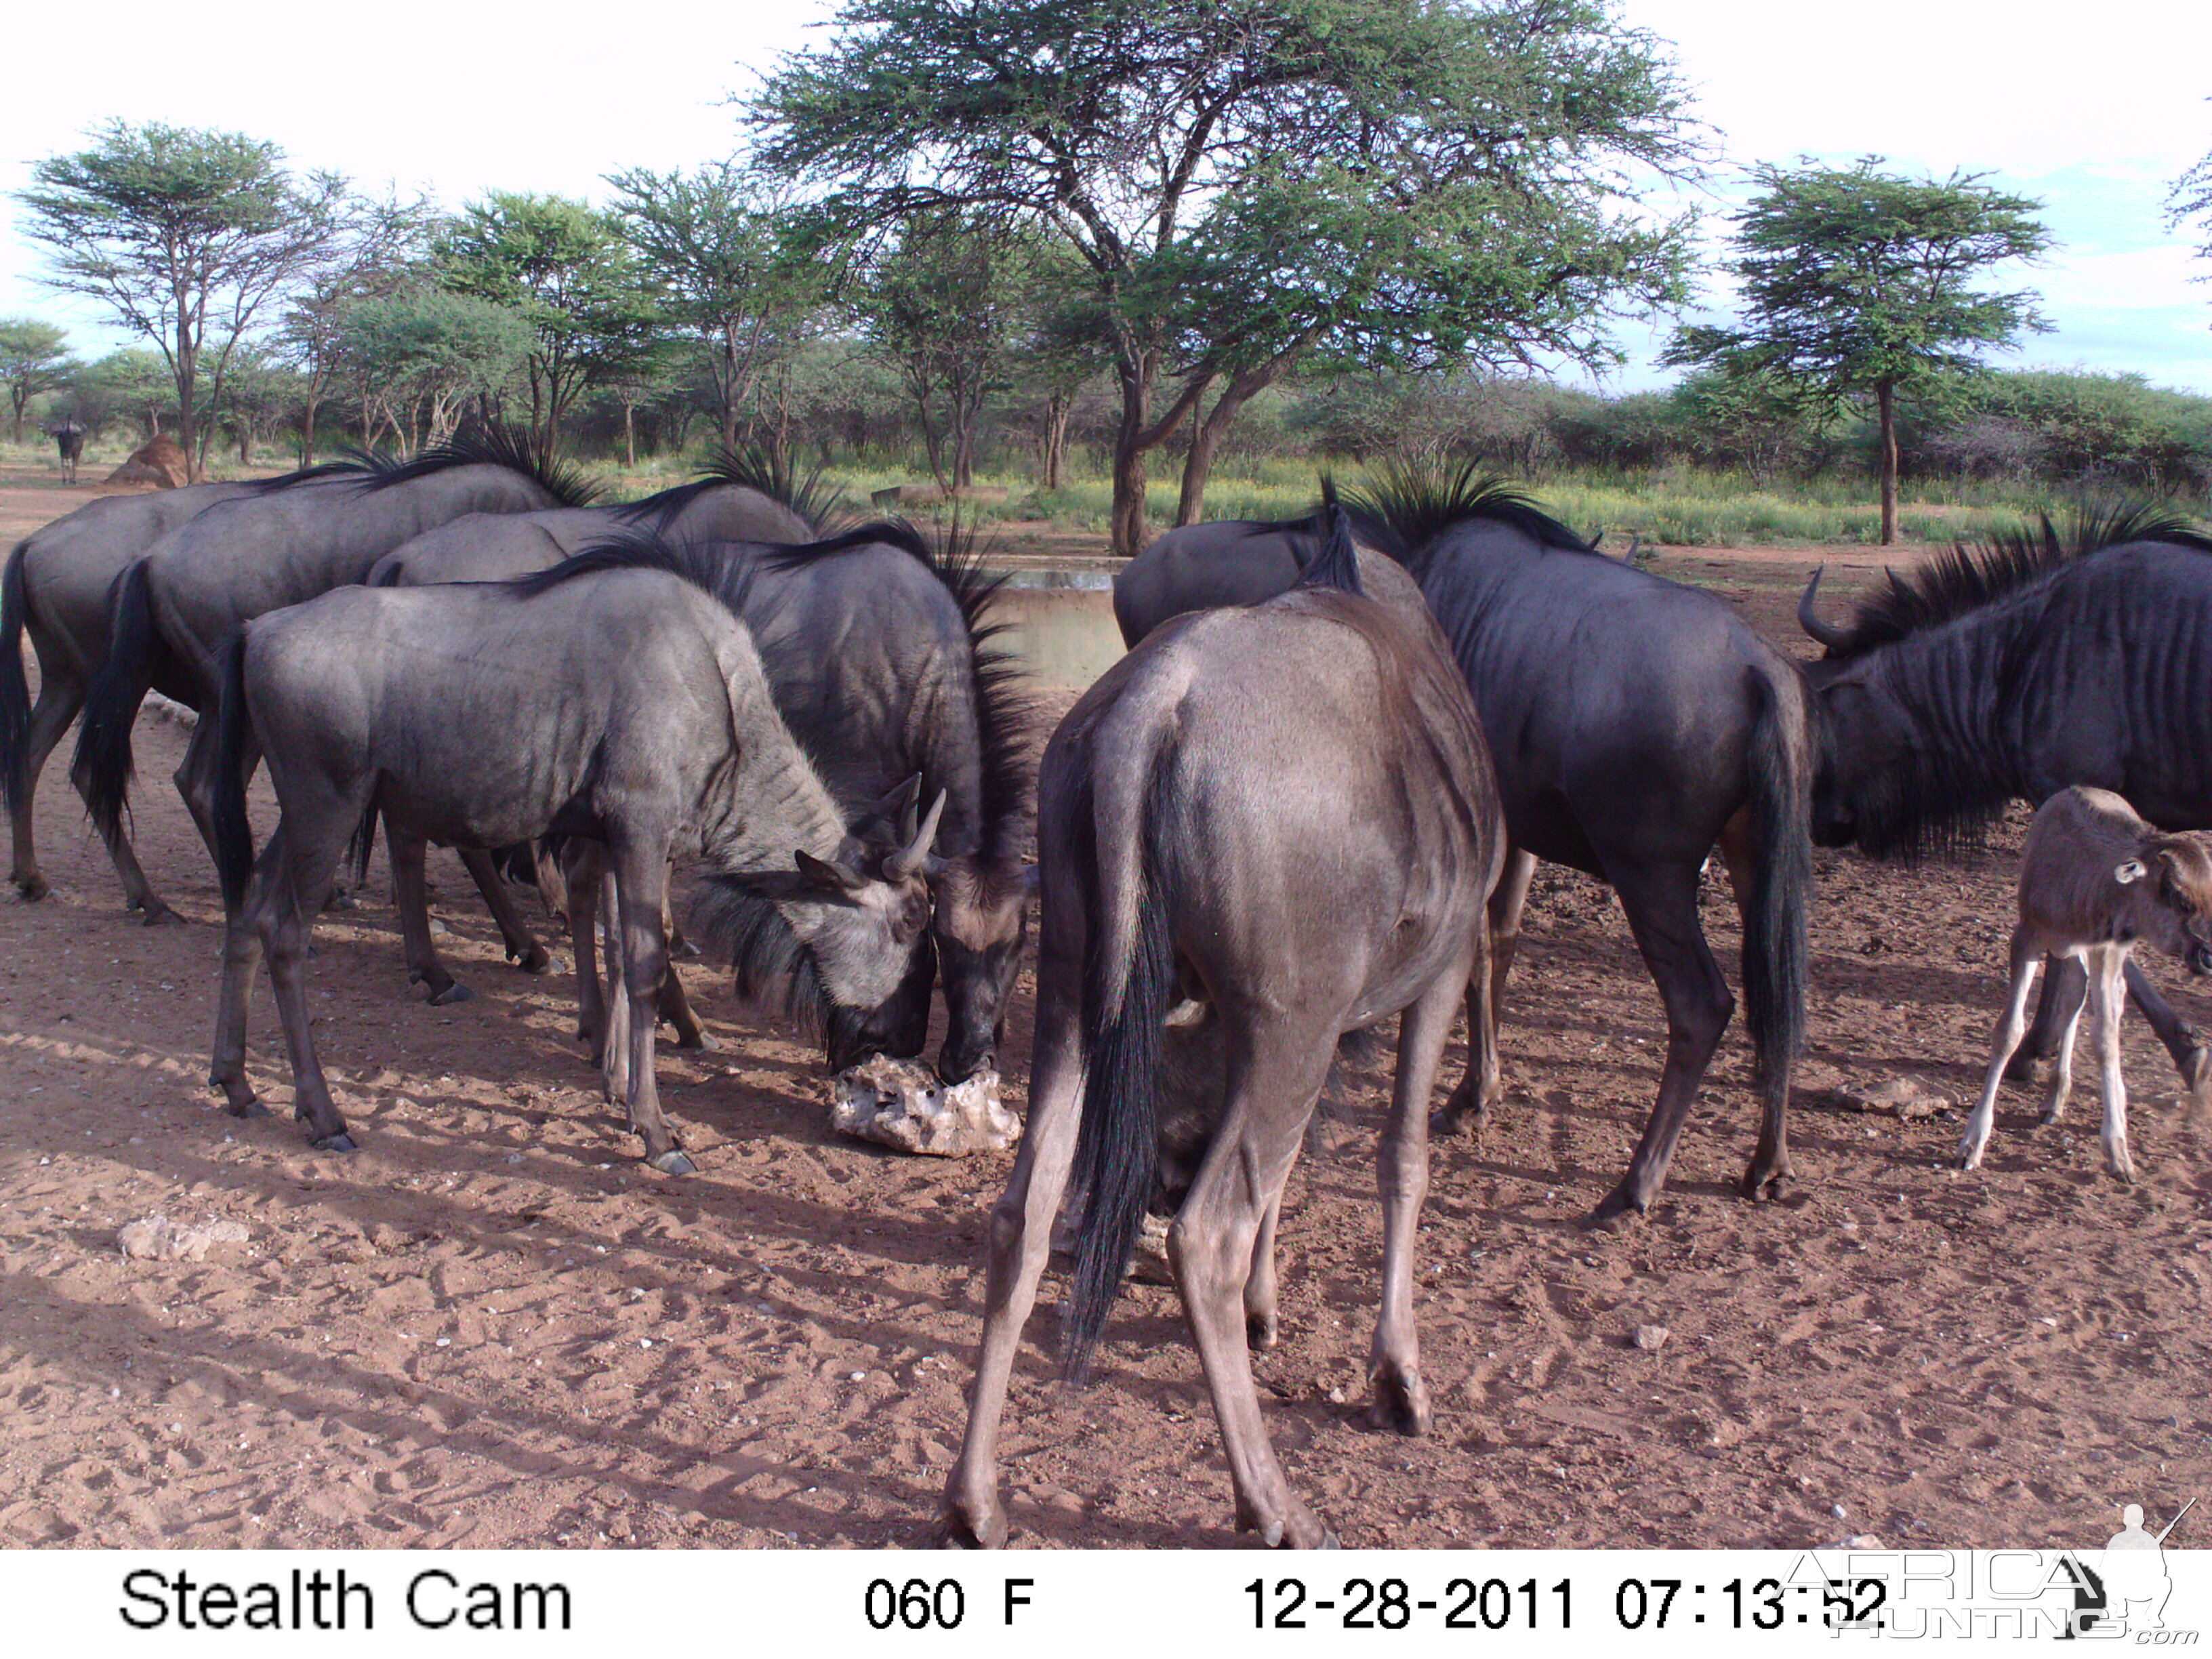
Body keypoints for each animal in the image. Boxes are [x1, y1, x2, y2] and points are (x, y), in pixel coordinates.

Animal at [1964, 787, 2212, 1185]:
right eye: (2175, 893)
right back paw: (2054, 1098)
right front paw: (1972, 1143)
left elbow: (2106, 1038)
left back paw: (2069, 1097)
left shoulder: (2107, 947)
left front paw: (2118, 1151)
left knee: (2096, 997)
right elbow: (2008, 1031)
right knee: (2076, 991)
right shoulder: (2027, 936)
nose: (2207, 955)